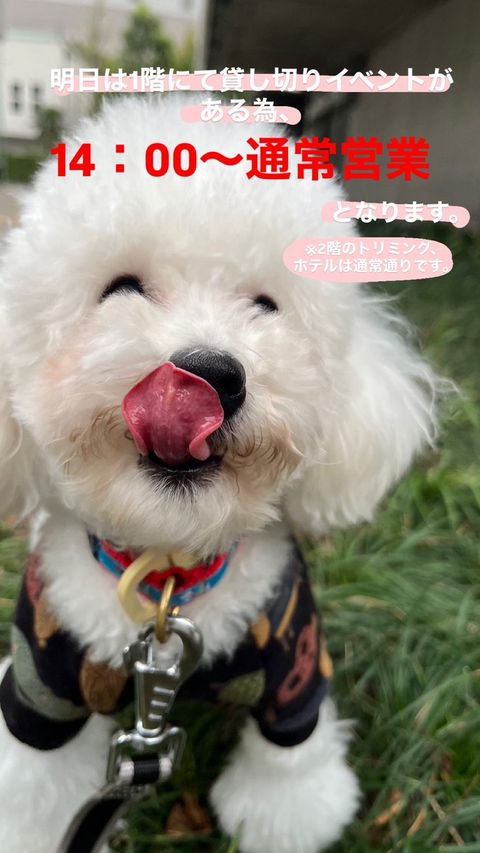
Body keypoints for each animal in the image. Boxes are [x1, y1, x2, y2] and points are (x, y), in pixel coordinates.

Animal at [0, 95, 437, 853]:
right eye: (120, 289)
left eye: (265, 304)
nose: (208, 374)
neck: (170, 580)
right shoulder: (40, 686)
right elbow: (37, 792)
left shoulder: (294, 667)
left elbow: (290, 767)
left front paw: (281, 815)